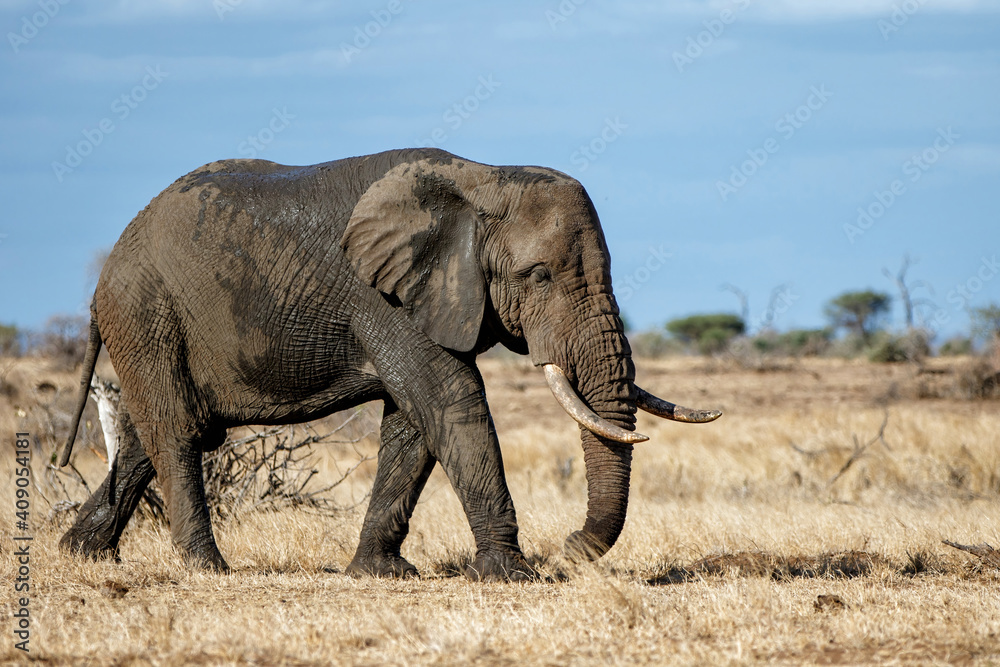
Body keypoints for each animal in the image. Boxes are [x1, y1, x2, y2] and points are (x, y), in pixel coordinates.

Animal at [59, 148, 720, 581]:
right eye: (539, 276)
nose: (569, 546)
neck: (483, 177)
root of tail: (107, 268)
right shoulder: (382, 295)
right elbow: (451, 398)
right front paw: (512, 575)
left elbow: (412, 422)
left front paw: (381, 573)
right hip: (146, 312)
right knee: (178, 432)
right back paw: (209, 569)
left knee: (149, 437)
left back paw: (80, 555)